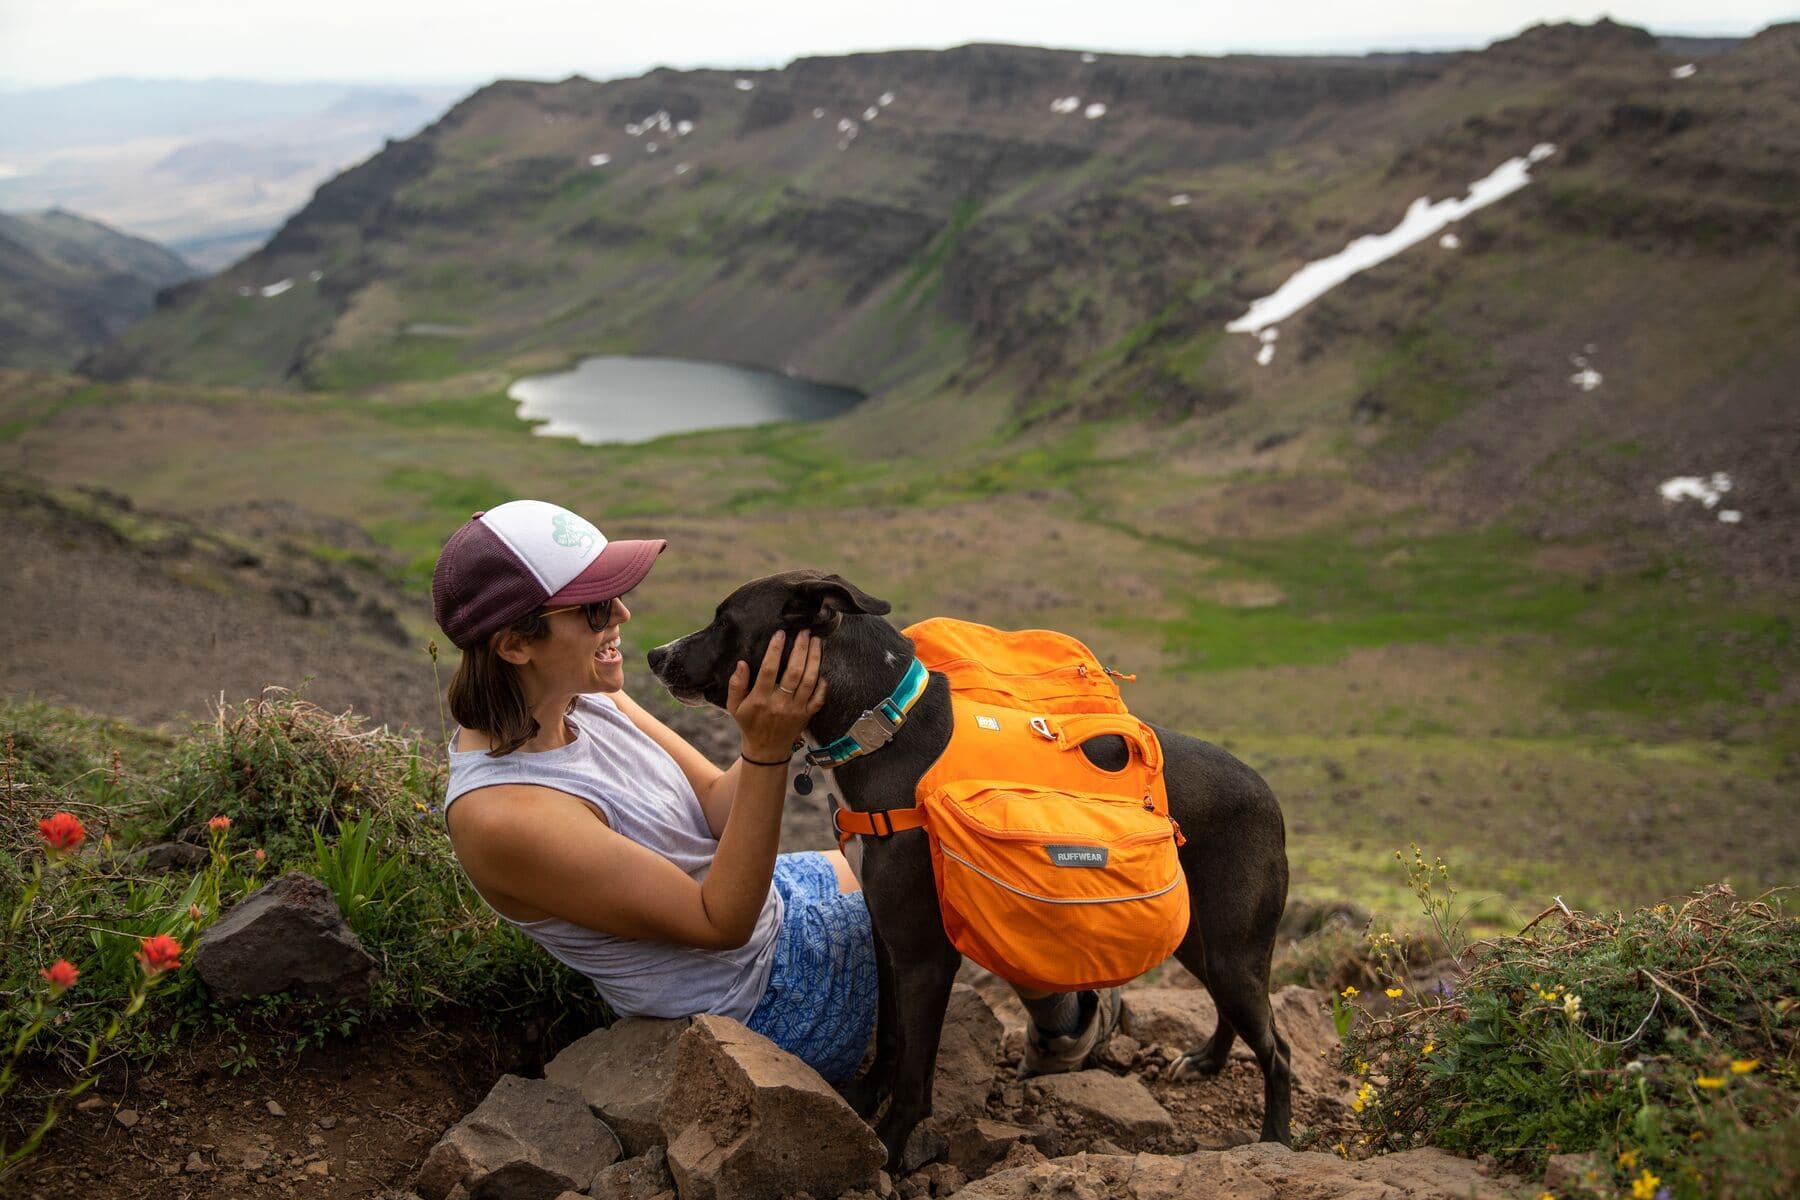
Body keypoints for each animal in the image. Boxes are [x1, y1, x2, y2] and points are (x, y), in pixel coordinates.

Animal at [648, 572, 1296, 1173]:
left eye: (724, 620)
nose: (655, 654)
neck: (884, 729)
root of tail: (1266, 790)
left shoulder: (927, 958)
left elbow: (916, 1076)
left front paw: (890, 1145)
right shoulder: (889, 938)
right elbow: (890, 1039)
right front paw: (863, 1098)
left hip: (1232, 950)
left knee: (1278, 1049)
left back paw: (1276, 1140)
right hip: (1200, 941)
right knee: (1238, 1013)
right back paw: (1207, 1061)